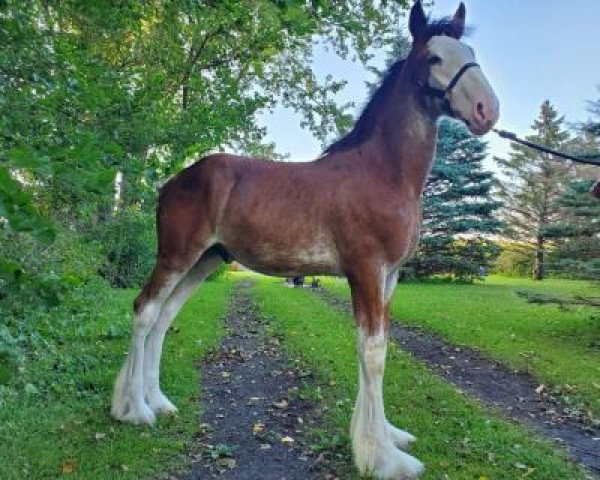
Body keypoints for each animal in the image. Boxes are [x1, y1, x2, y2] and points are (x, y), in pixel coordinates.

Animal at [111, 1, 496, 478]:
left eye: (470, 52)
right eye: (435, 57)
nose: (486, 110)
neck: (383, 172)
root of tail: (172, 182)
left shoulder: (388, 278)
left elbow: (379, 349)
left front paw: (387, 436)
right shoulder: (365, 272)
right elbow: (373, 353)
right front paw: (383, 457)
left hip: (205, 261)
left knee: (164, 317)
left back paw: (158, 401)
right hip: (176, 256)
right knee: (145, 311)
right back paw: (134, 410)